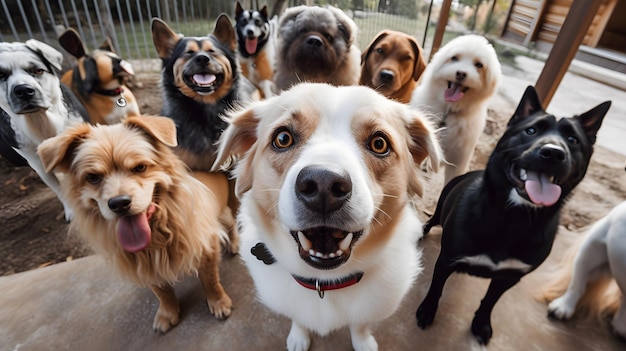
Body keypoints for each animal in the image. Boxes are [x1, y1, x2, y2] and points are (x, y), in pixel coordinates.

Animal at [37, 115, 236, 332]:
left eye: (140, 167)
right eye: (93, 177)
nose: (119, 203)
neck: (159, 230)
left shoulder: (206, 247)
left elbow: (210, 281)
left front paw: (219, 303)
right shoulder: (145, 264)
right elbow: (162, 291)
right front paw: (168, 313)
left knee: (232, 223)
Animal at [212, 83, 442, 351]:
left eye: (379, 143)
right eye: (282, 138)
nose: (323, 185)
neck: (324, 281)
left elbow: (359, 325)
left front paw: (363, 342)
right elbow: (298, 318)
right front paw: (299, 337)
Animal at [414, 86, 608, 346]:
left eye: (573, 140)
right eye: (531, 130)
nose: (553, 153)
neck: (513, 217)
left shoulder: (510, 277)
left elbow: (490, 301)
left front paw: (481, 324)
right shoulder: (447, 259)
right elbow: (436, 289)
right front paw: (426, 311)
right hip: (443, 203)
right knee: (433, 219)